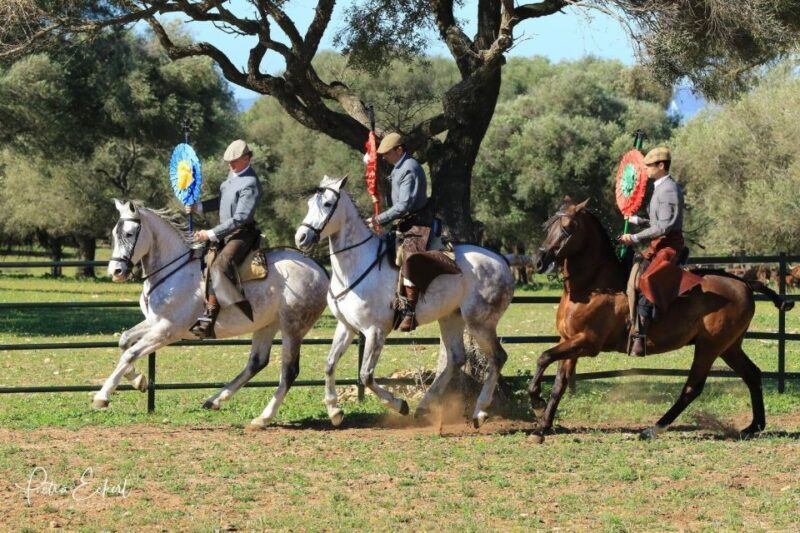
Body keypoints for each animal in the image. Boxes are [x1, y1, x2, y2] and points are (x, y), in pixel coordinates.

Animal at [99, 199, 329, 427]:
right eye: (114, 233)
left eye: (129, 233)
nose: (116, 271)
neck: (173, 271)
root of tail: (318, 268)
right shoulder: (154, 322)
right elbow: (124, 341)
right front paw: (138, 380)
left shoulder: (168, 330)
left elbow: (130, 353)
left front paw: (102, 395)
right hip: (266, 324)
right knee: (257, 362)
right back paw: (215, 400)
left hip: (293, 327)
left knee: (289, 372)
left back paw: (263, 417)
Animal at [294, 176, 514, 427]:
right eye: (310, 203)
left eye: (328, 204)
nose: (301, 238)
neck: (356, 264)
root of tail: (501, 261)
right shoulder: (346, 326)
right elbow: (330, 364)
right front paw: (334, 410)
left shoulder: (375, 331)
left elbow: (366, 376)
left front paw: (399, 405)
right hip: (451, 317)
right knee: (457, 358)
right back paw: (424, 406)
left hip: (480, 322)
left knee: (498, 357)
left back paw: (479, 411)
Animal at [528, 198, 793, 440]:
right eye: (547, 226)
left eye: (567, 228)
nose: (539, 262)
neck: (593, 286)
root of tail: (743, 283)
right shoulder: (569, 340)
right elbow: (559, 384)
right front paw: (542, 426)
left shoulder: (587, 342)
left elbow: (544, 357)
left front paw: (536, 402)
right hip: (729, 347)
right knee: (752, 374)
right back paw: (753, 427)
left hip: (710, 346)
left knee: (692, 387)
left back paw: (653, 428)